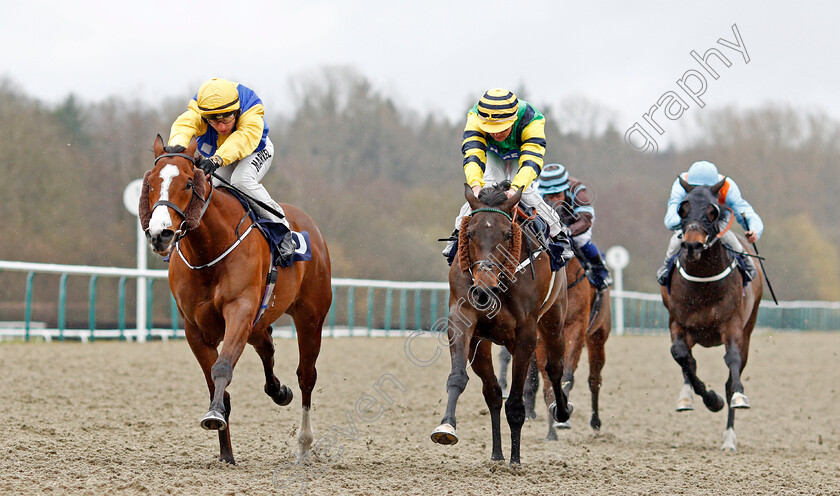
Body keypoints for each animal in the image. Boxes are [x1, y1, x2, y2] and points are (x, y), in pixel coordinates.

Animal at [140, 136, 332, 464]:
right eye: (151, 183)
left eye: (189, 183)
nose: (160, 234)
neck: (209, 250)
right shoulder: (194, 329)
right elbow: (214, 380)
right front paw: (226, 452)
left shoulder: (239, 312)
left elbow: (222, 368)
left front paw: (214, 415)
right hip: (259, 323)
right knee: (267, 348)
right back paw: (278, 391)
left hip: (310, 317)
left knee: (306, 376)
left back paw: (304, 446)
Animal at [430, 182, 576, 464]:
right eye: (470, 233)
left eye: (508, 234)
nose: (483, 289)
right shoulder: (463, 321)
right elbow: (458, 377)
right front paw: (446, 426)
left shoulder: (526, 334)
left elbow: (517, 402)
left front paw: (515, 460)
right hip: (483, 344)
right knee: (494, 393)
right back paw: (497, 454)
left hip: (554, 323)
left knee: (554, 368)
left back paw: (561, 411)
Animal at [660, 179, 764, 454]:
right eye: (682, 209)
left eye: (712, 211)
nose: (692, 245)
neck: (704, 282)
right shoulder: (678, 323)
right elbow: (681, 356)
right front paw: (709, 399)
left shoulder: (733, 326)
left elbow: (732, 363)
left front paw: (736, 396)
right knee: (687, 362)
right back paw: (687, 396)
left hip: (749, 328)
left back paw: (728, 438)